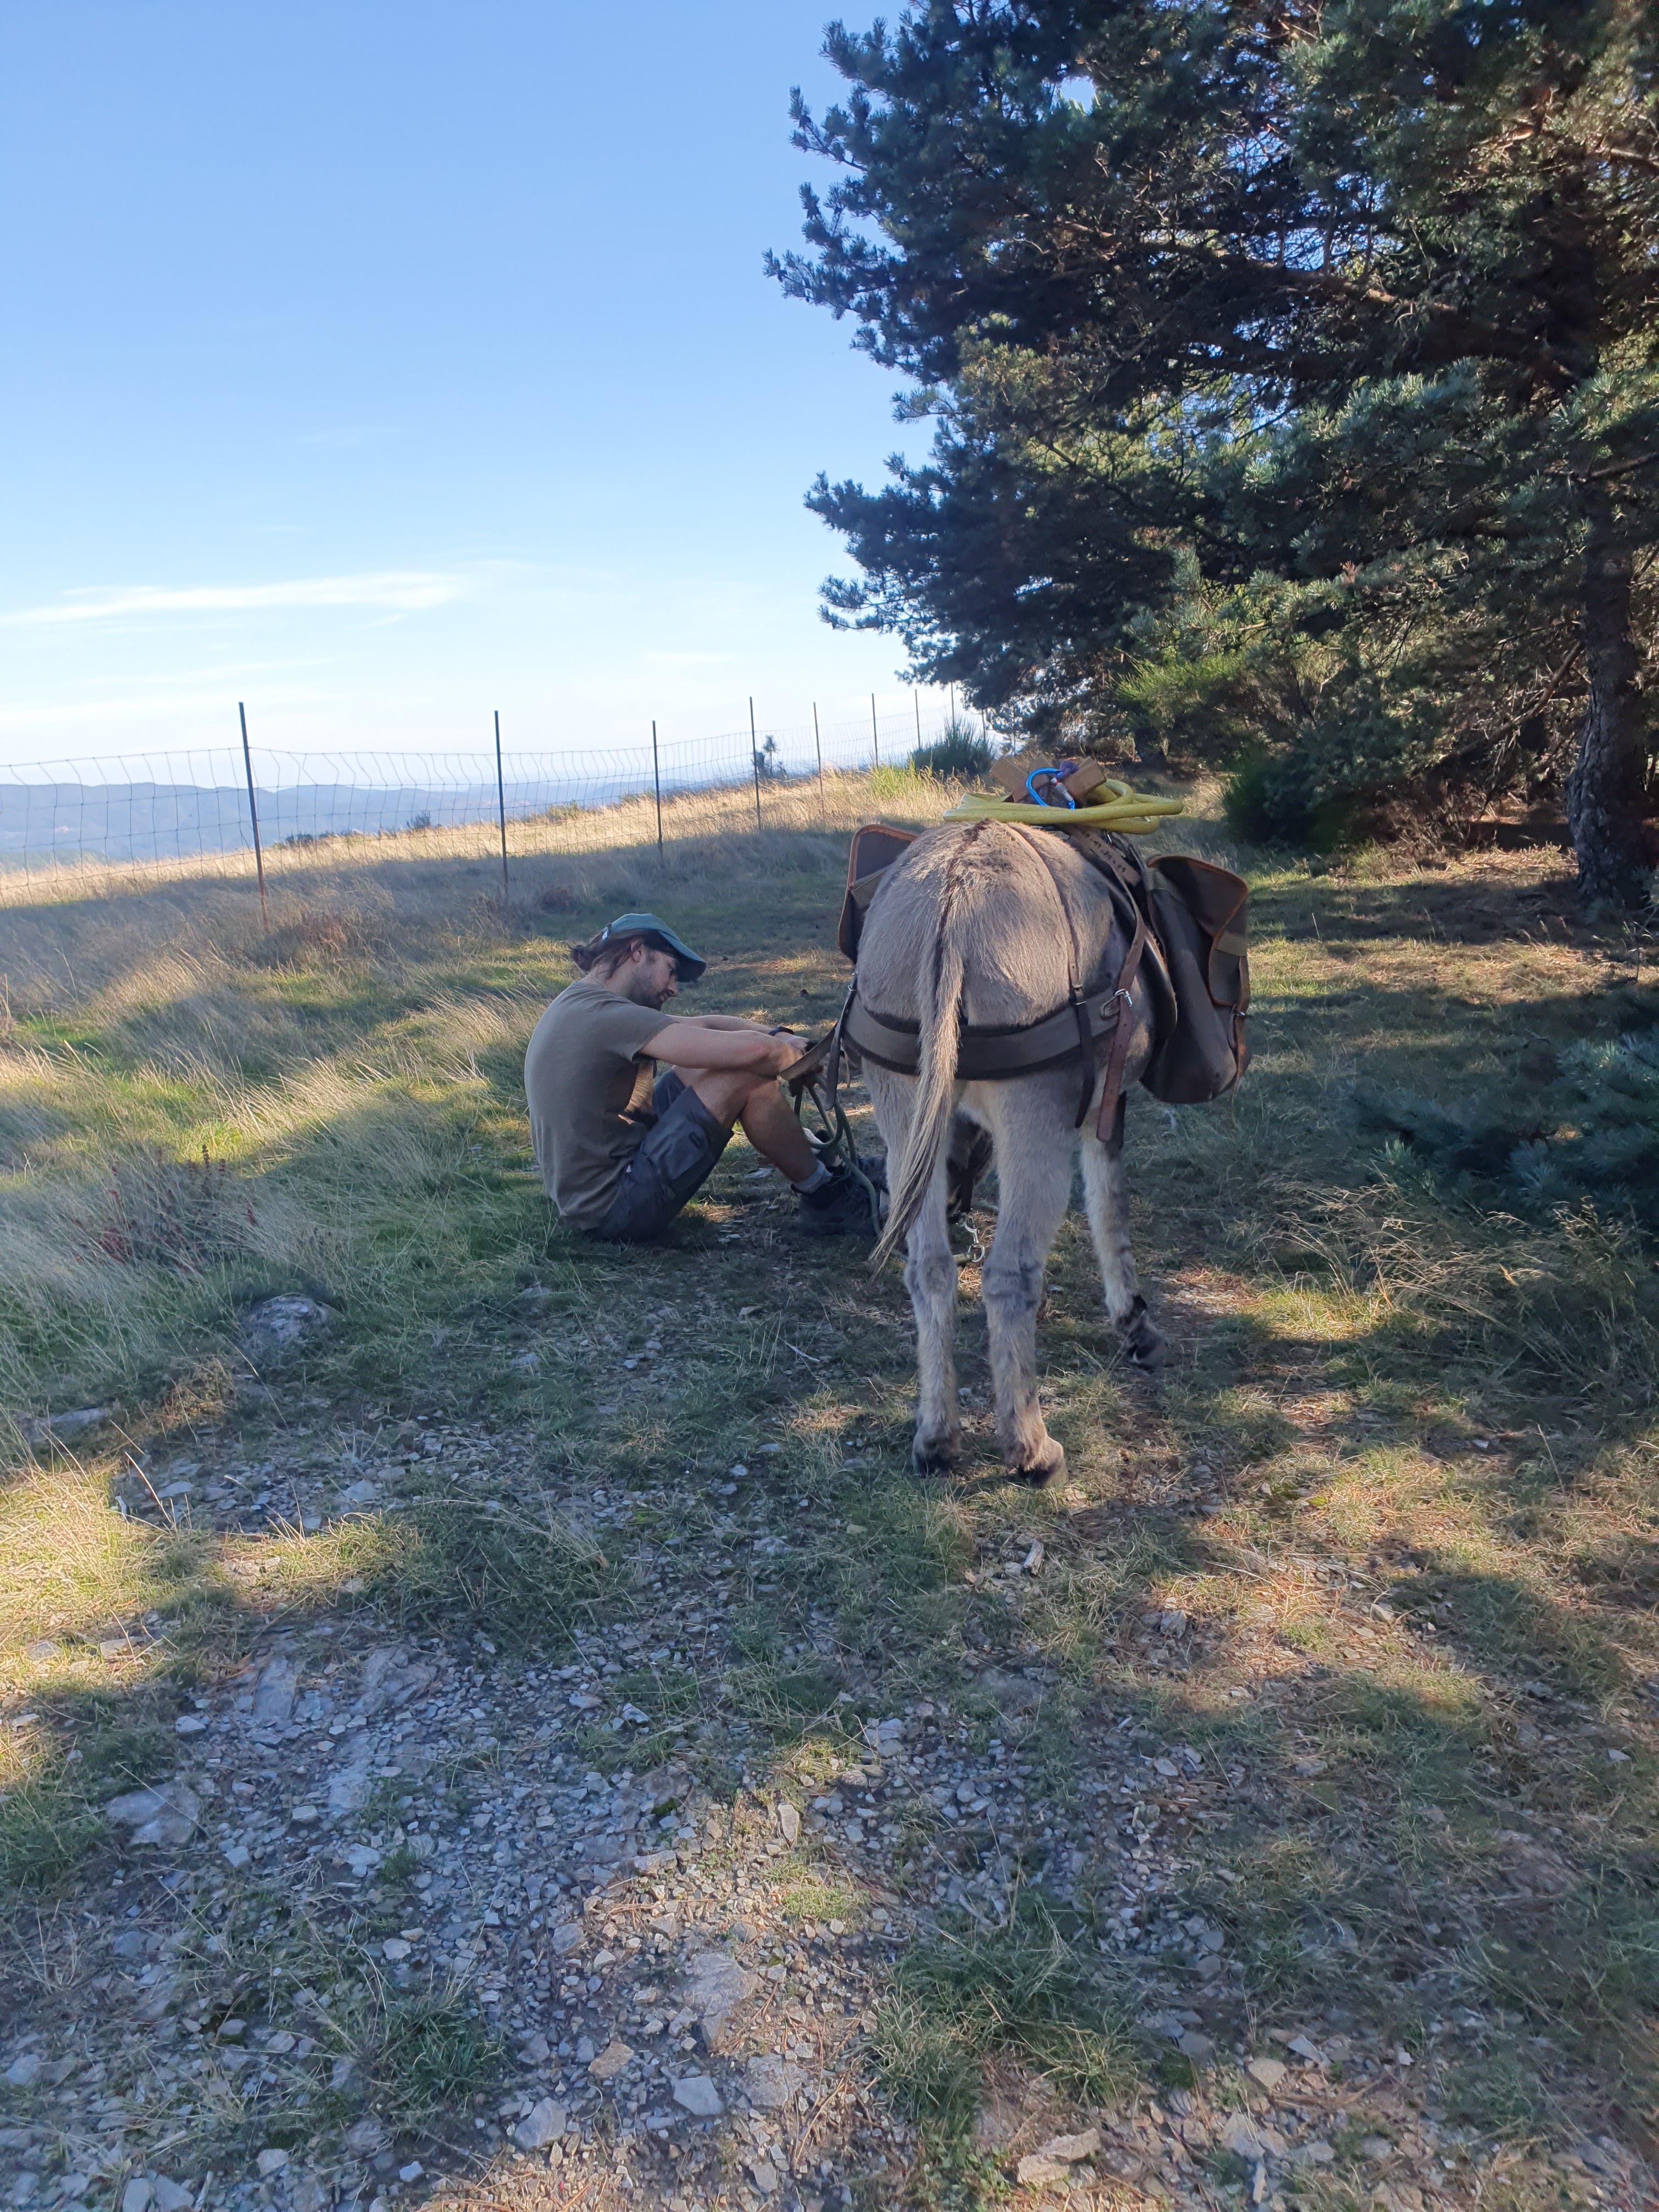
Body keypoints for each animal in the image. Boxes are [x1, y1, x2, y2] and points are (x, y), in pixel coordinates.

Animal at [852, 816, 1164, 1485]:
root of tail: (953, 897)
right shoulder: (1099, 1113)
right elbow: (1110, 1208)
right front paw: (1133, 1323)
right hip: (1034, 1123)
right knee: (1006, 1273)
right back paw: (1031, 1450)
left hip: (904, 1120)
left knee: (929, 1270)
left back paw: (936, 1439)